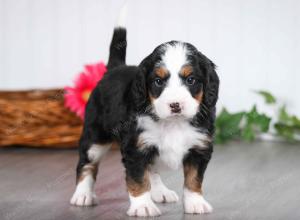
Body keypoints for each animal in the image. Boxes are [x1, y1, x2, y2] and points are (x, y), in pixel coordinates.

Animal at [70, 6, 220, 217]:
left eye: (191, 80)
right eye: (158, 81)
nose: (175, 105)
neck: (173, 123)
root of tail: (114, 69)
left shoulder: (199, 147)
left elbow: (193, 179)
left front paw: (195, 203)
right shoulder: (135, 147)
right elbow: (138, 179)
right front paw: (143, 206)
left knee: (152, 169)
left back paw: (160, 191)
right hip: (95, 136)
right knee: (86, 163)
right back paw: (82, 195)